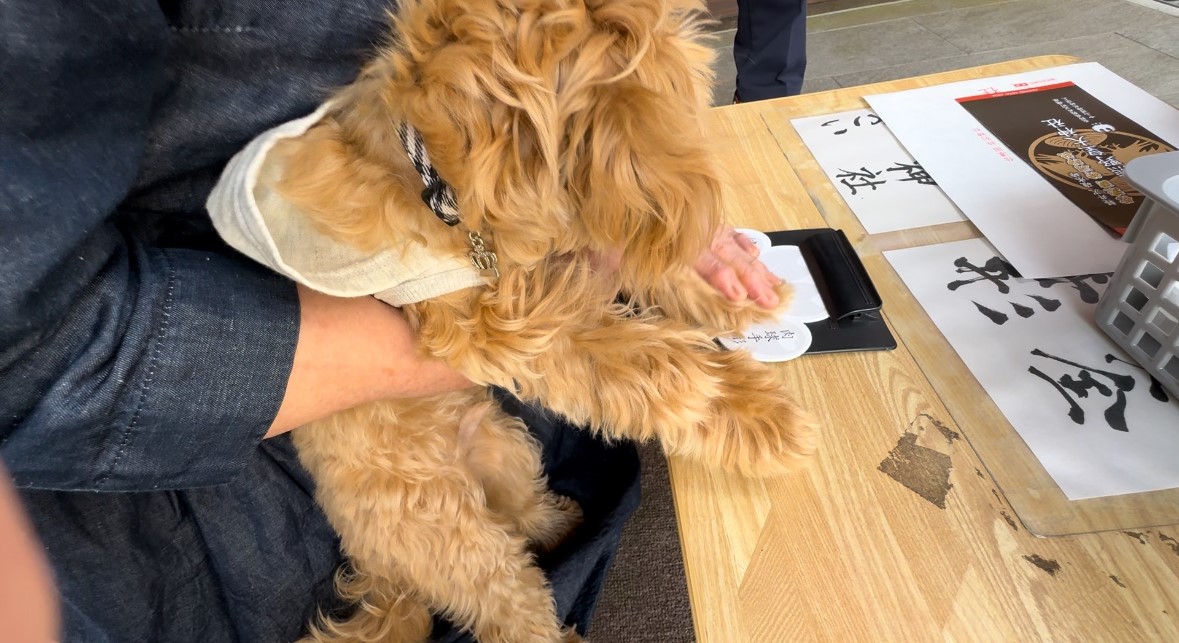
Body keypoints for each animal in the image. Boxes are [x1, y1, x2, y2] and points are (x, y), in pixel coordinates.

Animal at [268, 0, 820, 637]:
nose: (694, 207)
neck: (436, 178)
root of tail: (382, 573)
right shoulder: (501, 325)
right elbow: (652, 363)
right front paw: (766, 420)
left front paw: (727, 290)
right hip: (448, 537)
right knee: (509, 605)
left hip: (505, 448)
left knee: (525, 515)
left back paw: (563, 519)